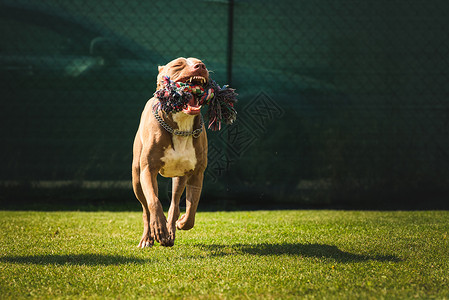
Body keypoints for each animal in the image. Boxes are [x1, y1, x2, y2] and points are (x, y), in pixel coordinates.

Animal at [132, 57, 209, 247]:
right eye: (178, 65)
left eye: (200, 62)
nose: (200, 66)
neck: (181, 124)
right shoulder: (148, 170)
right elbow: (154, 202)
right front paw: (159, 229)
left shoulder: (197, 173)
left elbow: (192, 208)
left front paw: (181, 223)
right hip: (136, 178)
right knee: (146, 208)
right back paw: (148, 238)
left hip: (179, 178)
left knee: (174, 203)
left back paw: (171, 231)